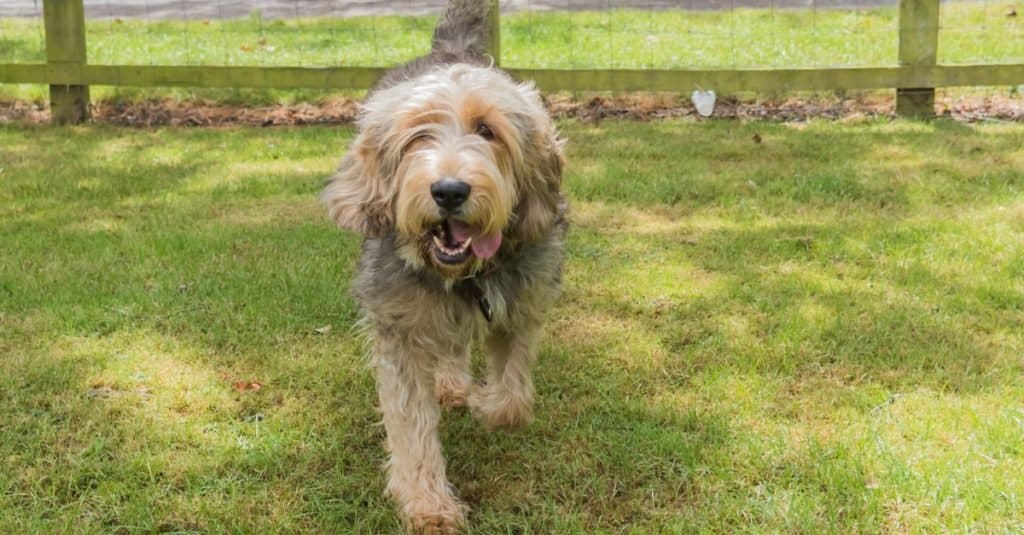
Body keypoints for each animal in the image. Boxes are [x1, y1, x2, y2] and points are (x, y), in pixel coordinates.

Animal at [321, 0, 569, 528]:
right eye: (418, 136)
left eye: (487, 130)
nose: (449, 190)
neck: (462, 276)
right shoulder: (399, 331)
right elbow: (410, 424)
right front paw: (427, 504)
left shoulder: (521, 307)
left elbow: (513, 399)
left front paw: (487, 404)